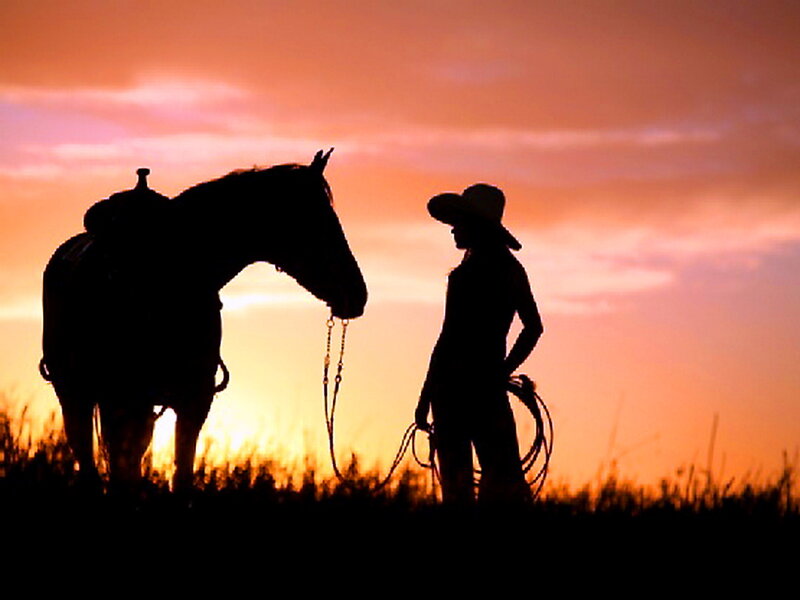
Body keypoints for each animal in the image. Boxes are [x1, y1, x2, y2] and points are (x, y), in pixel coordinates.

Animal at [39, 150, 368, 493]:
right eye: (318, 221)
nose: (357, 293)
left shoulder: (193, 402)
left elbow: (180, 477)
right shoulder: (122, 397)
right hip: (77, 395)